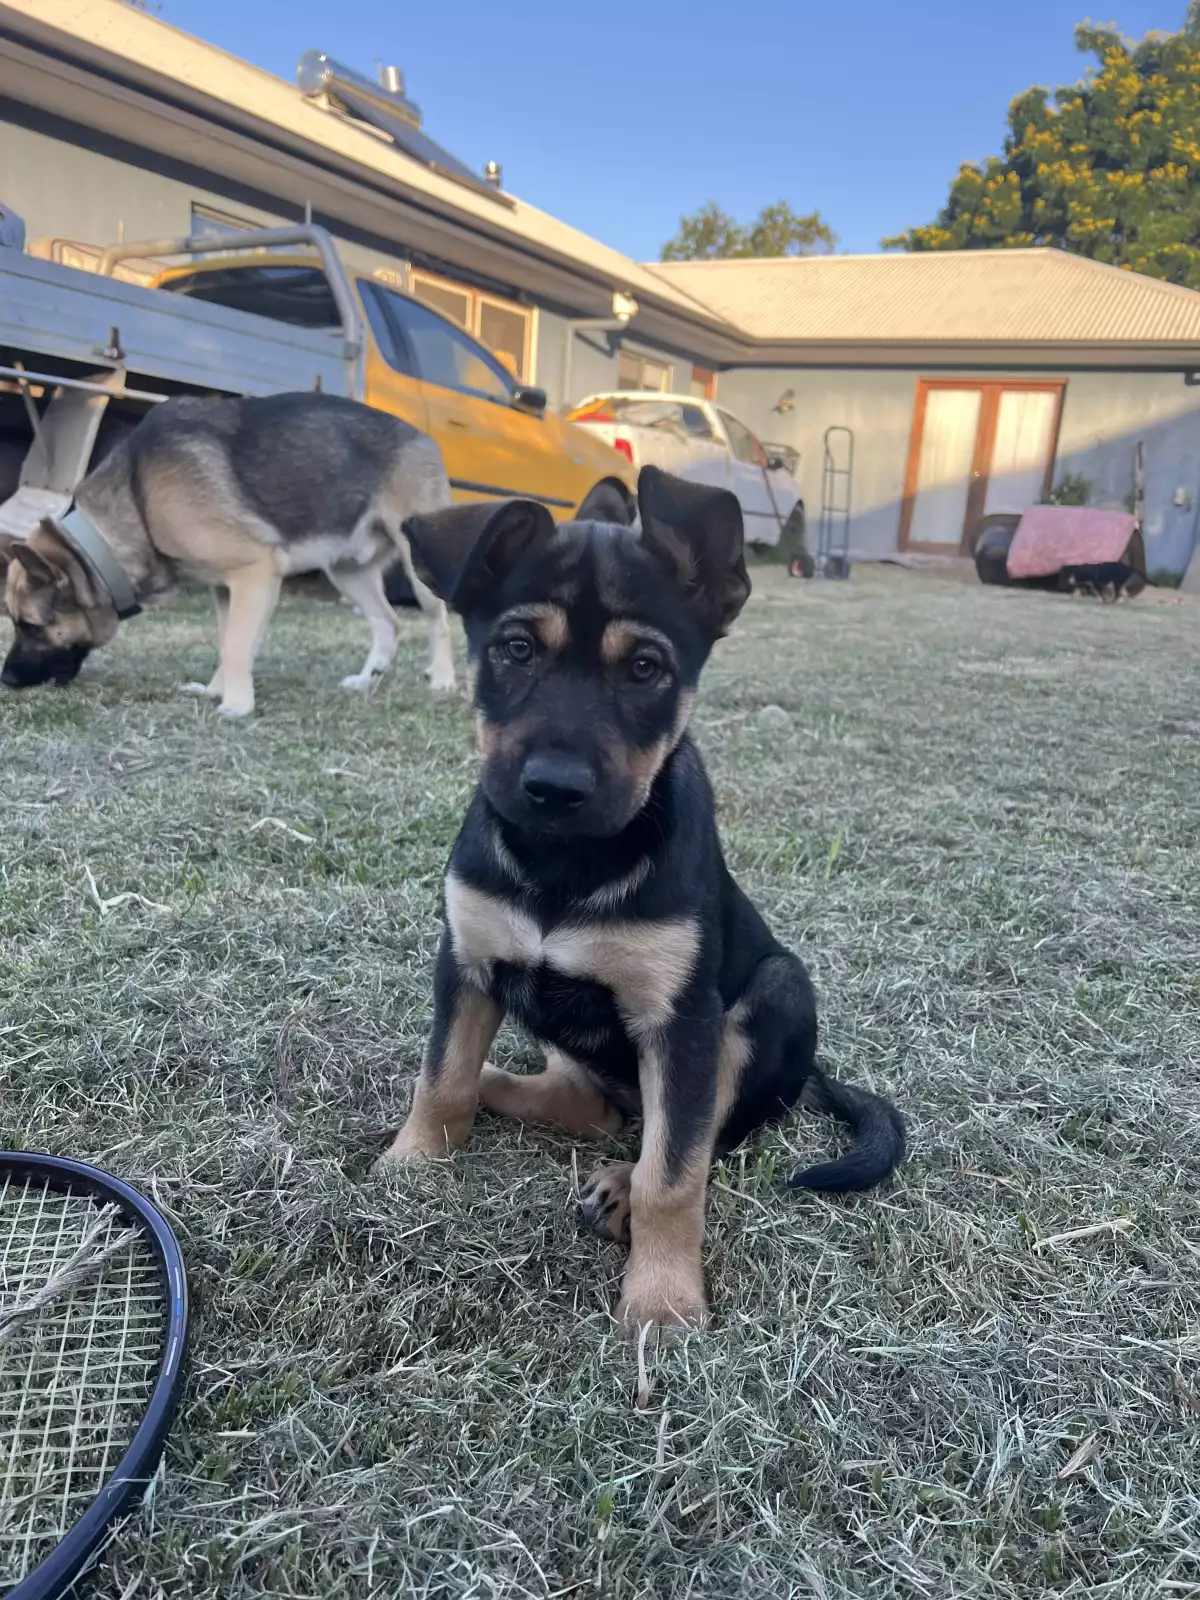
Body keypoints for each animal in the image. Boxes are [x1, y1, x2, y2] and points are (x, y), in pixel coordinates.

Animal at [0, 392, 456, 715]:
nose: (6, 679)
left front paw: (235, 706)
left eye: (30, 626)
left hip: (418, 570)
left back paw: (444, 680)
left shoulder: (257, 572)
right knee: (389, 623)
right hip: (346, 570)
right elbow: (229, 642)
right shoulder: (226, 588)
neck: (137, 500)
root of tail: (425, 437)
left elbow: (236, 645)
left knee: (440, 621)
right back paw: (366, 681)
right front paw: (215, 691)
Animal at [376, 467, 905, 1329]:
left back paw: (619, 1186)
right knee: (585, 1103)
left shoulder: (680, 1023)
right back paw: (500, 1088)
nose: (555, 789)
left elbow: (675, 1171)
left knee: (696, 1131)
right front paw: (412, 1161)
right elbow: (443, 1075)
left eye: (647, 669)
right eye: (515, 649)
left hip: (777, 990)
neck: (565, 863)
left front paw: (662, 1301)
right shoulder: (466, 962)